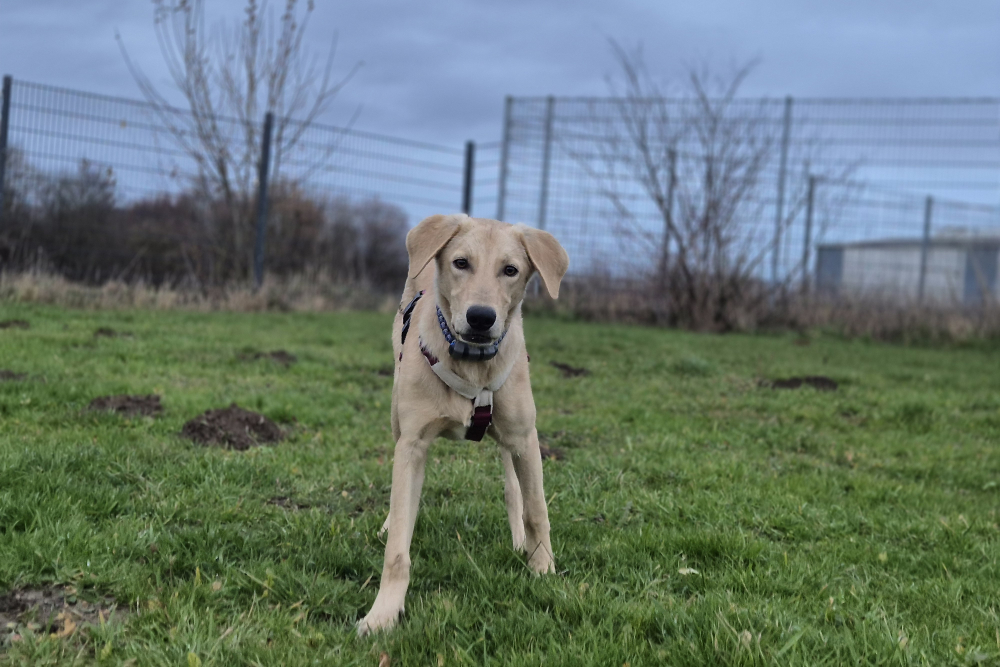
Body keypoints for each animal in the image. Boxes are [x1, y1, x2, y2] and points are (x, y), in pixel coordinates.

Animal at [357, 213, 569, 635]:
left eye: (510, 270)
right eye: (460, 263)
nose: (481, 317)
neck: (472, 363)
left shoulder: (525, 438)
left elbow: (537, 509)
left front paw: (543, 571)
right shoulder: (412, 445)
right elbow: (398, 544)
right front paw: (384, 612)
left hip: (512, 438)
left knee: (513, 487)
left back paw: (519, 539)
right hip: (396, 413)